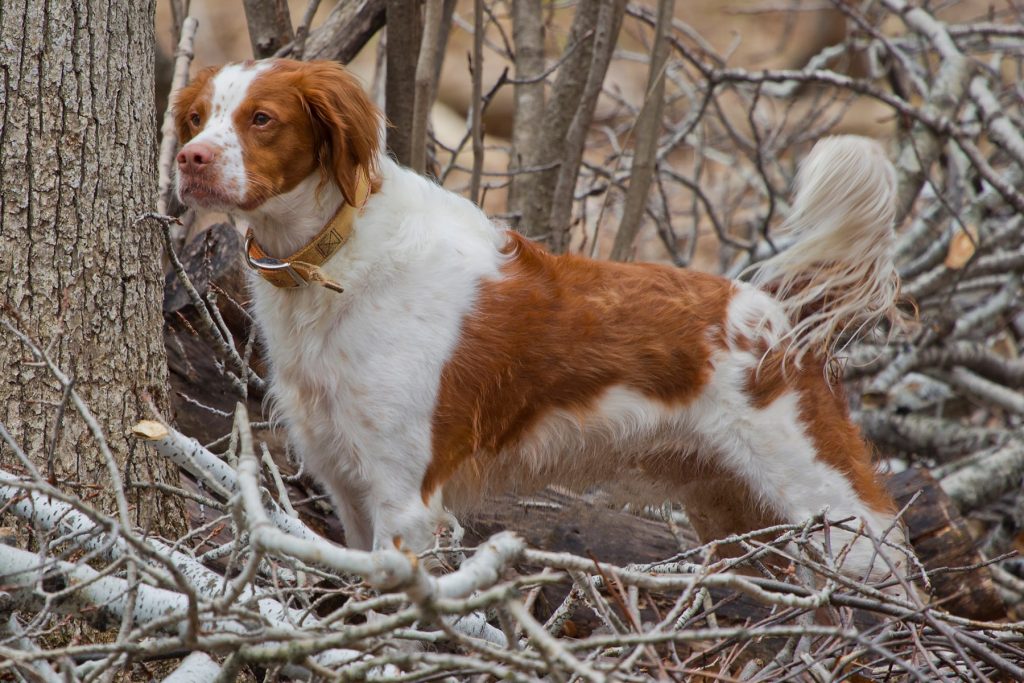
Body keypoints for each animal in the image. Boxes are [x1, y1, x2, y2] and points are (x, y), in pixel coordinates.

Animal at [174, 58, 913, 585]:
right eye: (196, 118)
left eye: (262, 118)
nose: (190, 159)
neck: (333, 258)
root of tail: (780, 319)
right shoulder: (348, 485)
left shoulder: (404, 496)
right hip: (740, 518)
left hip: (831, 511)